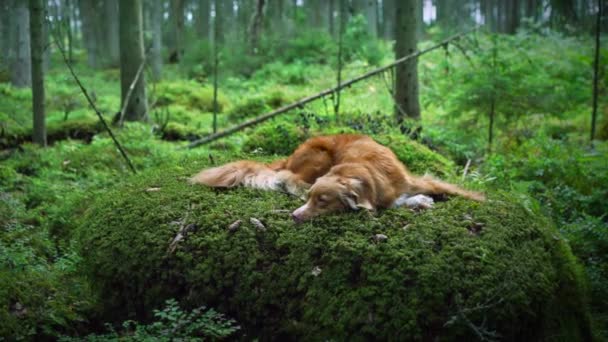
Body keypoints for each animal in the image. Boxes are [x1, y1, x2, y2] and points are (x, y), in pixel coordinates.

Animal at [190, 134, 484, 222]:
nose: (294, 216)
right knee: (287, 177)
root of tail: (292, 154)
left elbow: (452, 189)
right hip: (319, 155)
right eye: (314, 200)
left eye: (323, 201)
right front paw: (421, 202)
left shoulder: (416, 182)